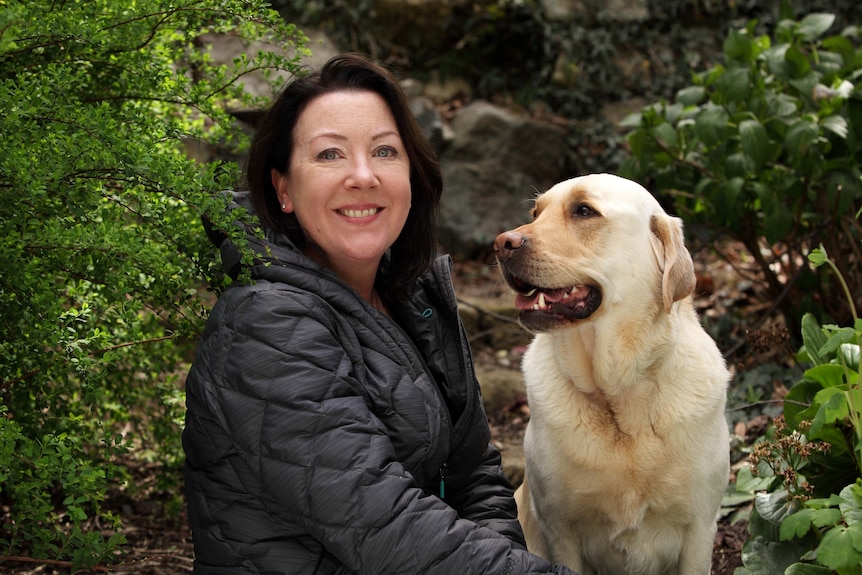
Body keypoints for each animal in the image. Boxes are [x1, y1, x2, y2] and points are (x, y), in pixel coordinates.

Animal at [496, 173, 732, 572]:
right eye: (535, 213)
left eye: (584, 211)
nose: (501, 244)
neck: (619, 394)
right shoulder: (559, 531)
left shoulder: (700, 531)